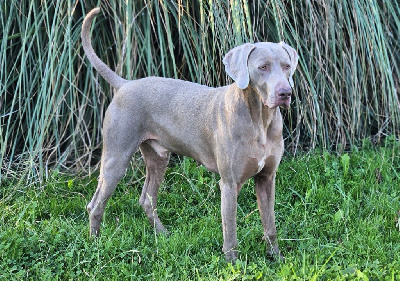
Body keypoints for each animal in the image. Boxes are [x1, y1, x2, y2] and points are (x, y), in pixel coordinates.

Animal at [81, 7, 296, 260]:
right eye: (262, 67)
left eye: (286, 66)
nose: (285, 93)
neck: (260, 120)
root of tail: (125, 84)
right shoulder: (229, 183)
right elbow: (230, 231)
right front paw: (233, 262)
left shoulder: (267, 178)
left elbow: (270, 224)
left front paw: (277, 258)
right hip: (117, 157)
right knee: (96, 204)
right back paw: (95, 245)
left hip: (158, 157)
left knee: (146, 199)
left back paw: (163, 235)